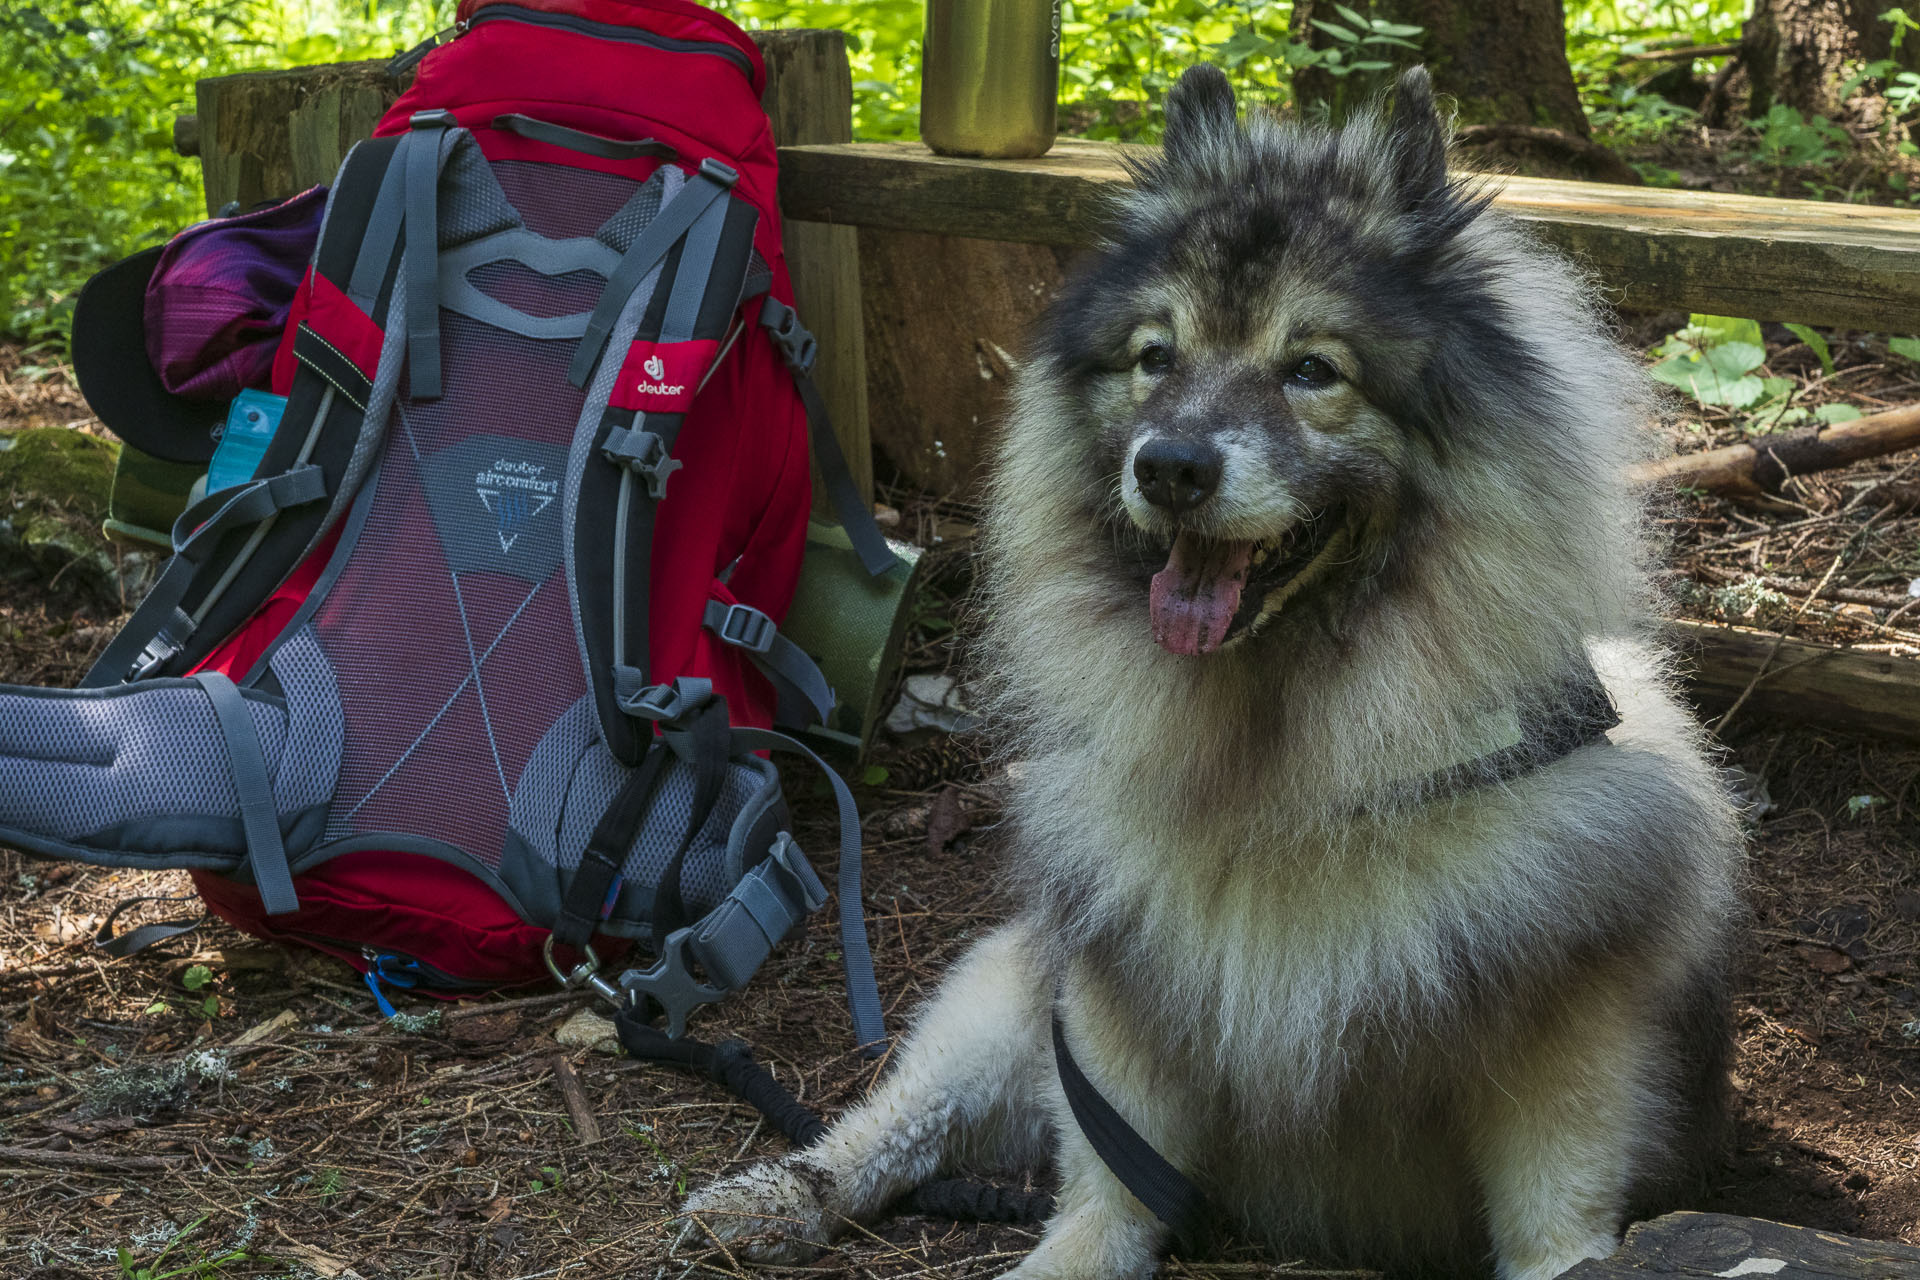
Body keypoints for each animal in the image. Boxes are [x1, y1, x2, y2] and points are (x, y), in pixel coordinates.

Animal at [683, 65, 1751, 1280]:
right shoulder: (1117, 995)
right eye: (1158, 356)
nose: (1172, 467)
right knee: (902, 1118)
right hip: (1007, 997)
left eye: (1314, 370)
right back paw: (780, 1194)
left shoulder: (1563, 1033)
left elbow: (1556, 1214)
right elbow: (1102, 1193)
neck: (1281, 757)